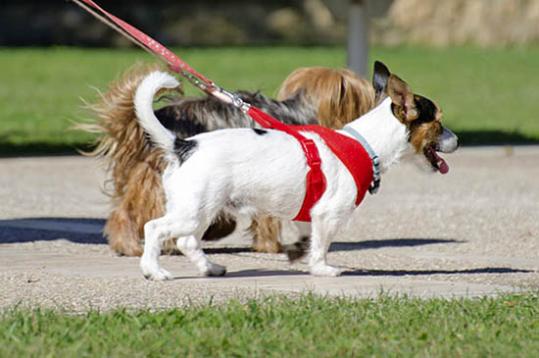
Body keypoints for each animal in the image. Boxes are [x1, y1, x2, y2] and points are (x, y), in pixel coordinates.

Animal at [86, 63, 376, 256]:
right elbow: (268, 219)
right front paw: (272, 246)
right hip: (162, 181)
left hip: (139, 177)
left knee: (123, 212)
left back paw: (127, 245)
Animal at [136, 62, 460, 280]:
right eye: (438, 122)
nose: (457, 140)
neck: (365, 143)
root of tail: (183, 145)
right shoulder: (327, 214)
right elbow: (322, 246)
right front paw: (323, 269)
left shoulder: (310, 214)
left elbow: (308, 238)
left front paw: (297, 252)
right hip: (194, 210)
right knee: (154, 228)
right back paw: (154, 270)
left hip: (201, 210)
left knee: (187, 240)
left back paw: (210, 268)